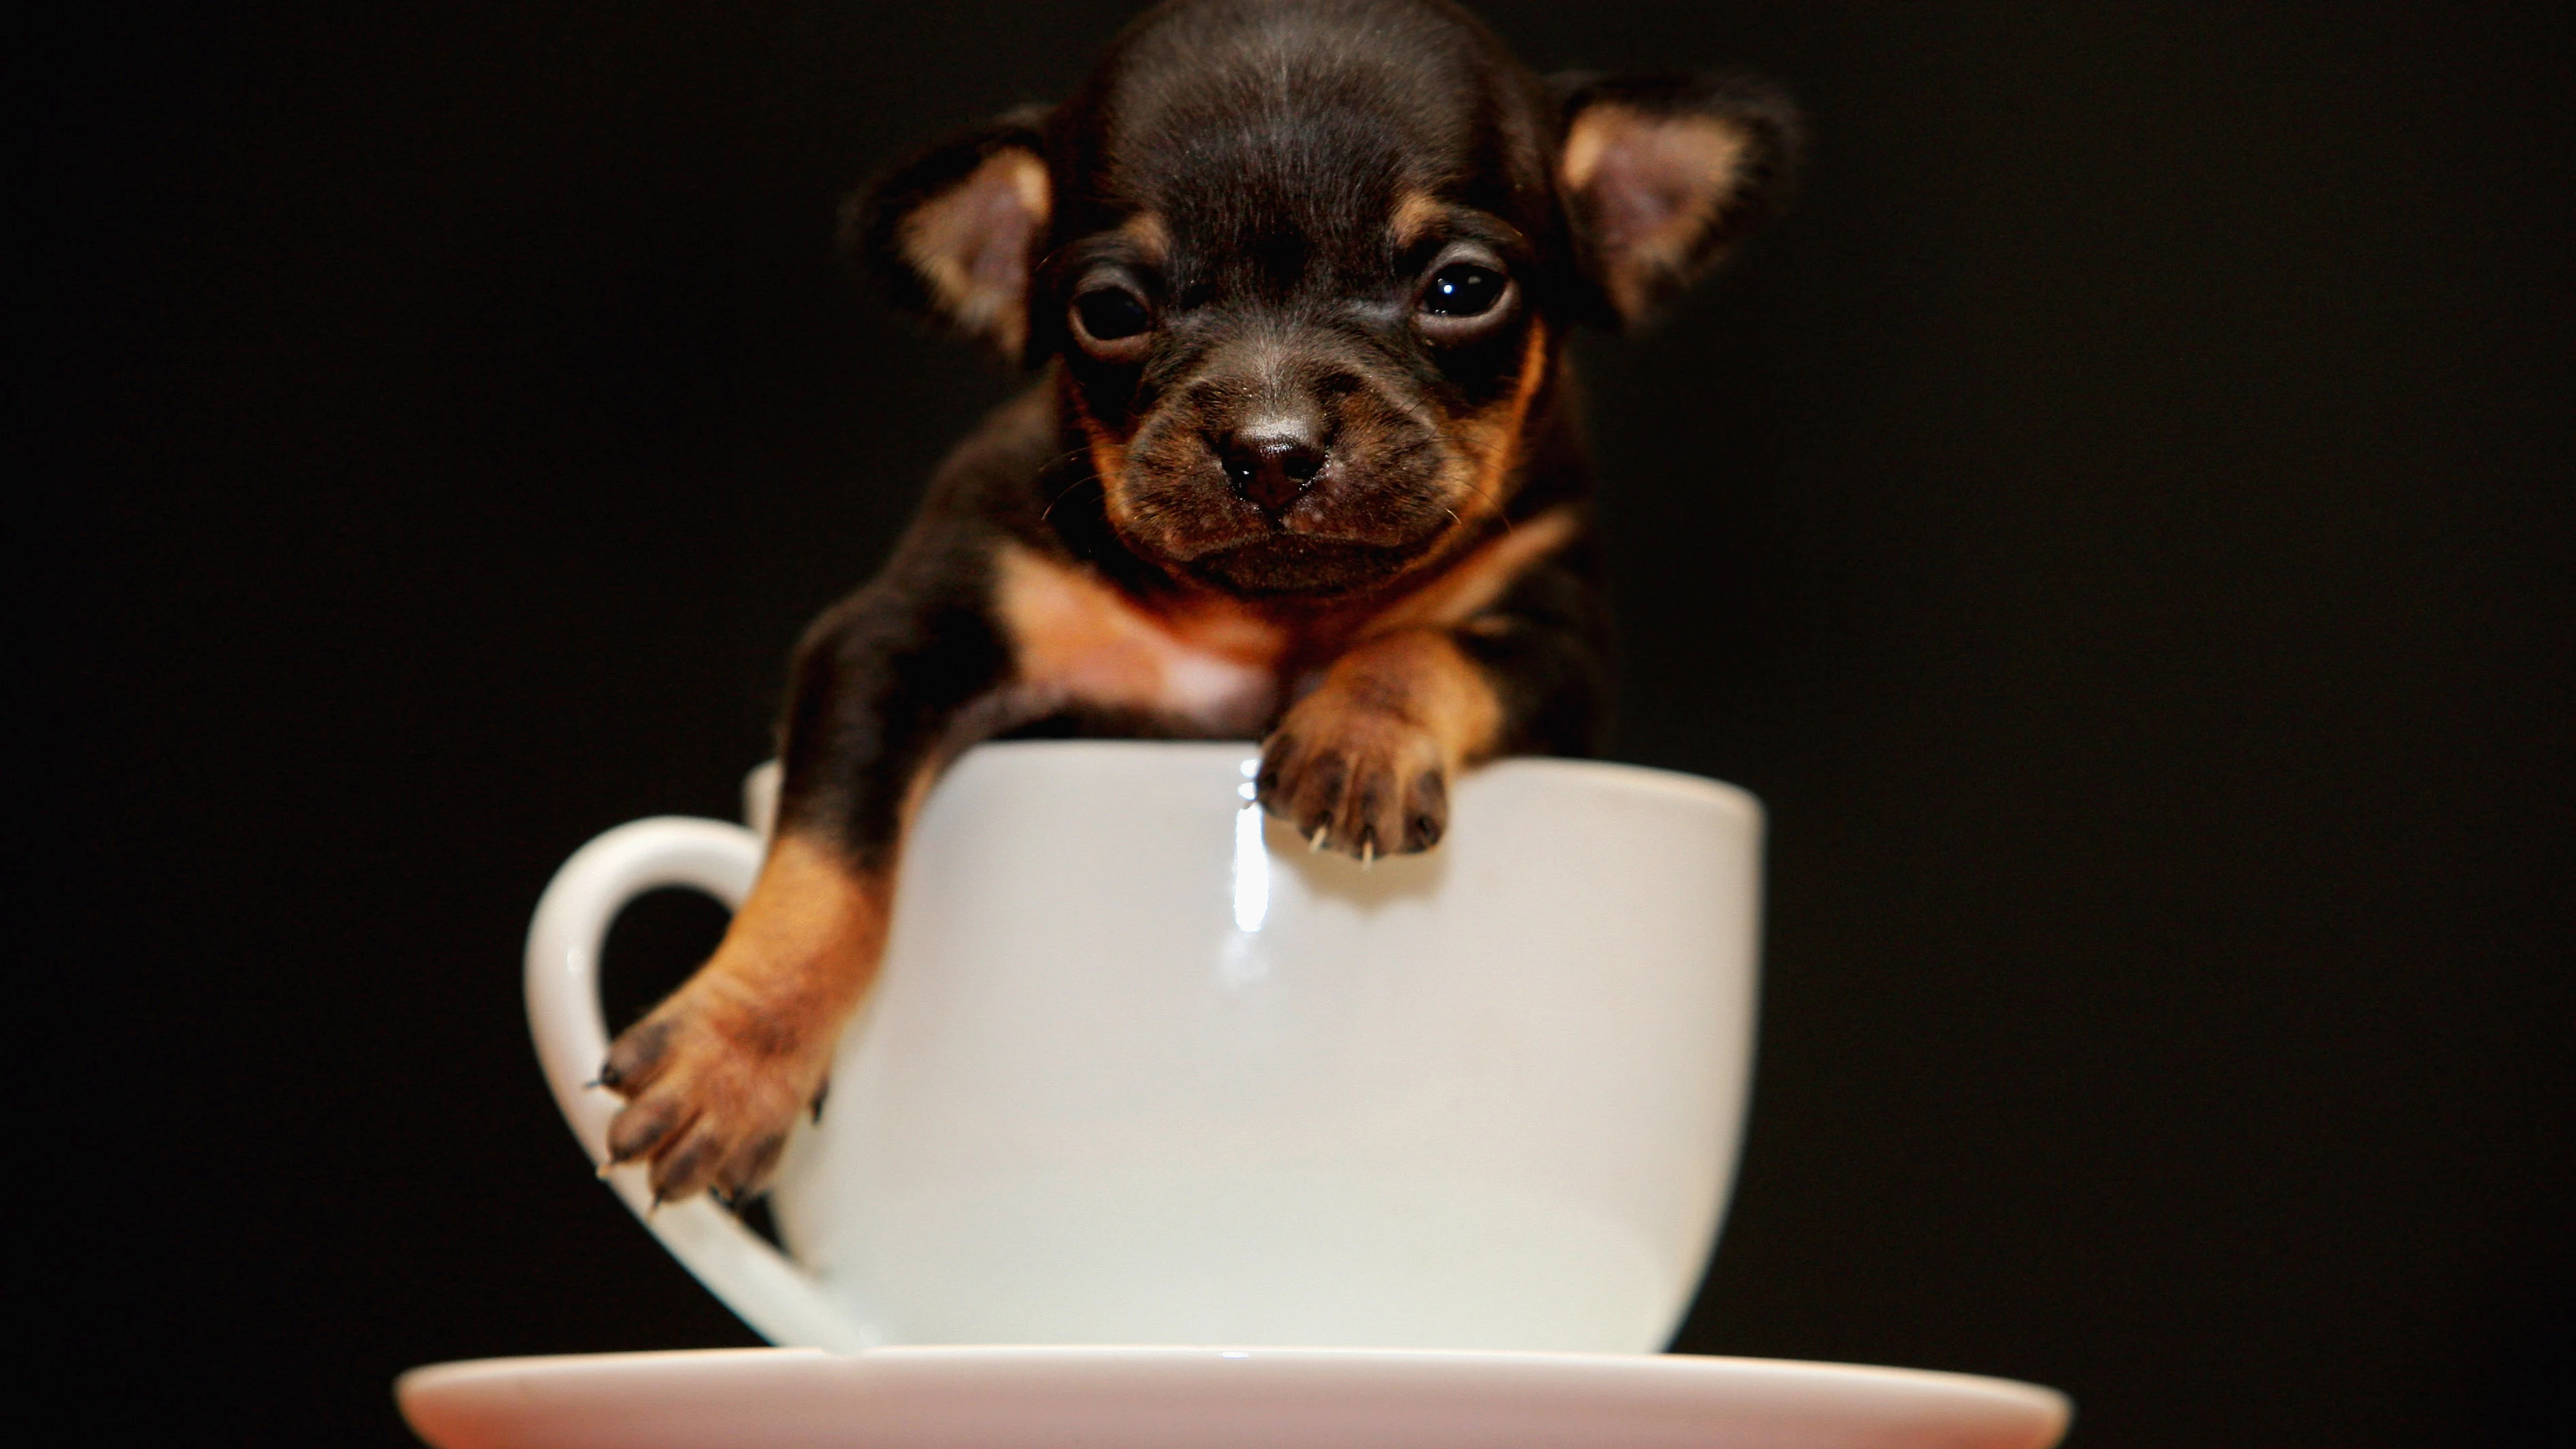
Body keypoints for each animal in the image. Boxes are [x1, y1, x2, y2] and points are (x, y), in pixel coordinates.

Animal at [590, 0, 1792, 1209]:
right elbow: (827, 862)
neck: (1263, 621)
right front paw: (730, 1058)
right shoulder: (892, 645)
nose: (1273, 449)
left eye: (1463, 290)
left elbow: (1424, 643)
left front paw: (1355, 740)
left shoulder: (1557, 642)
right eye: (1110, 310)